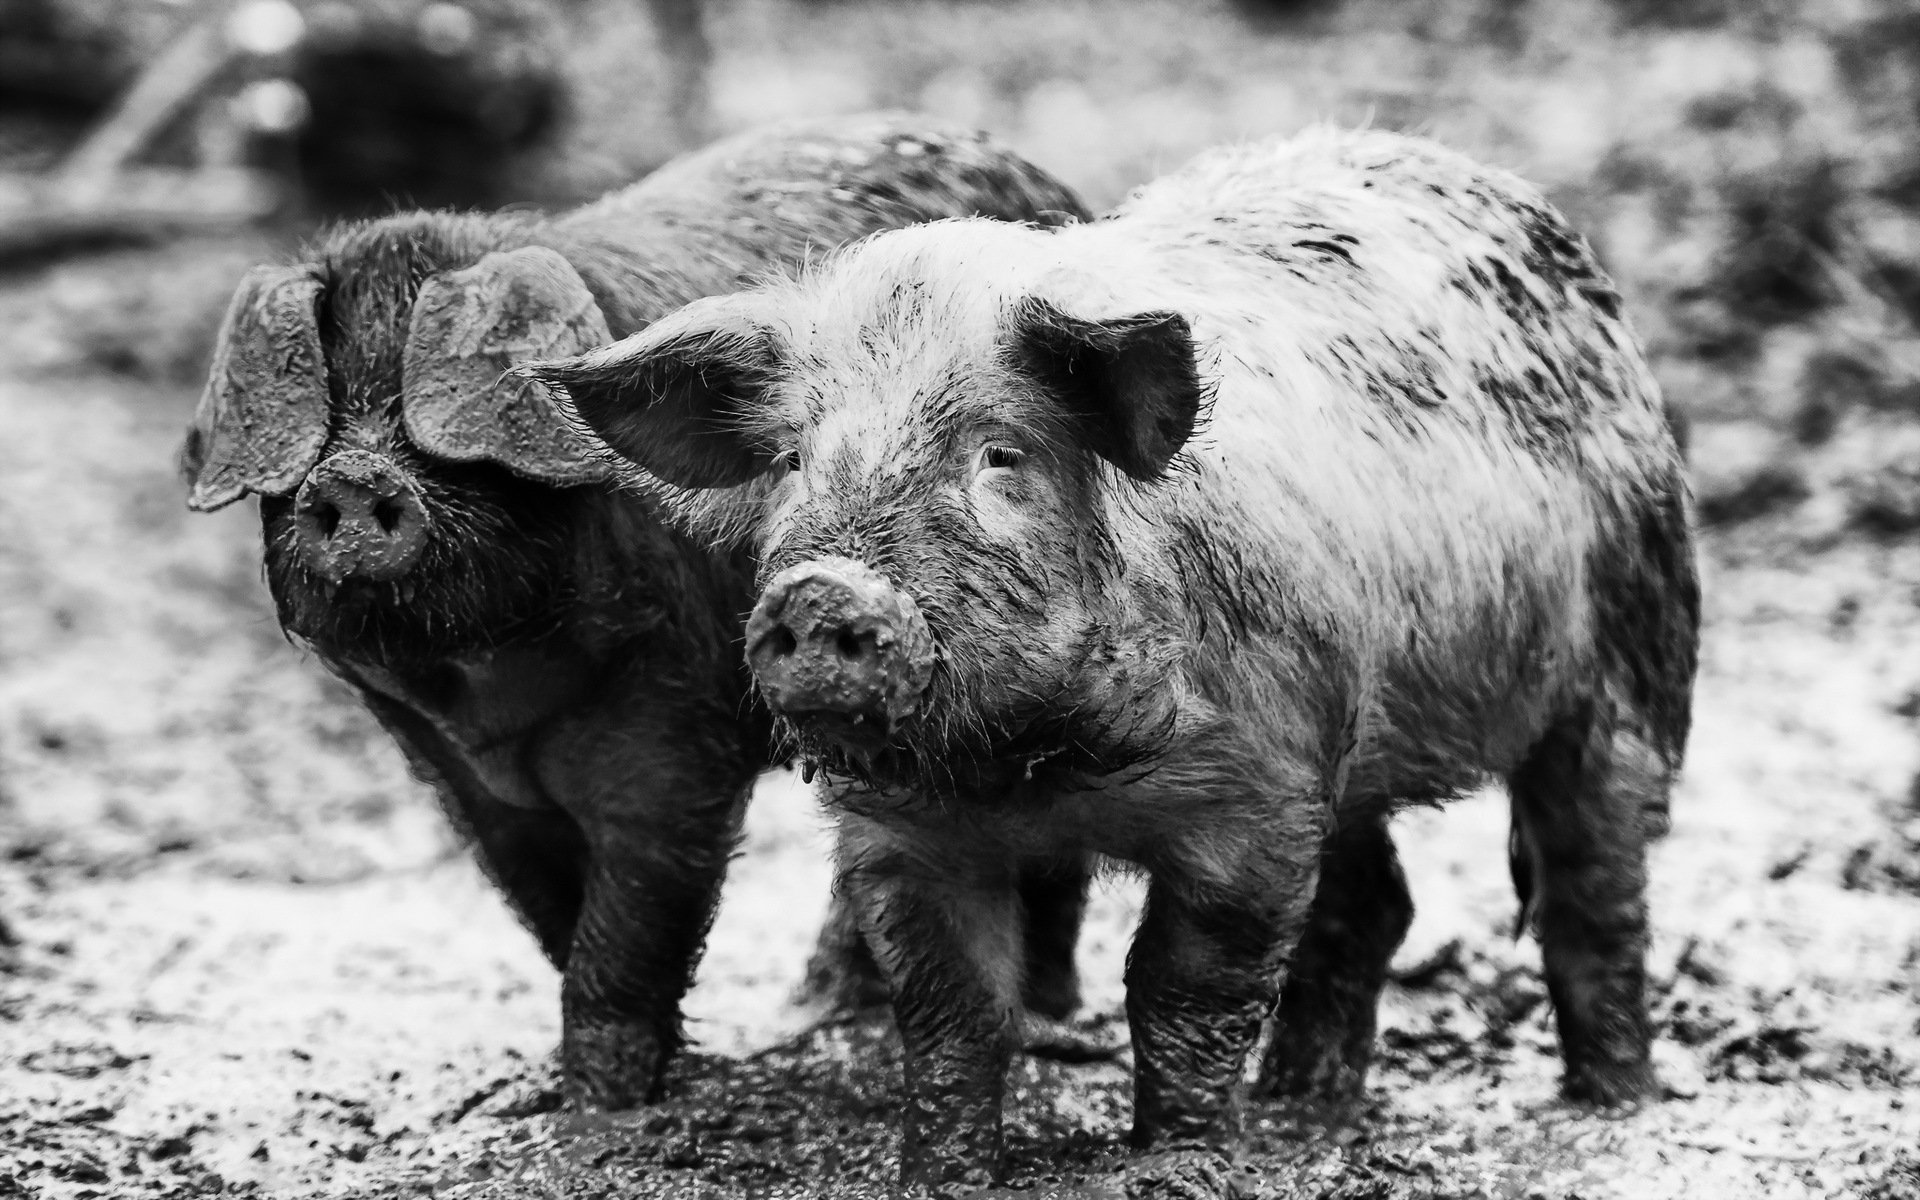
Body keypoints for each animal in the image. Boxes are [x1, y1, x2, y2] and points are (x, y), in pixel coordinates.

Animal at [179, 113, 1096, 1110]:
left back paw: (1040, 1018)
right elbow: (548, 910)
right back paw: (816, 1008)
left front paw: (602, 1105)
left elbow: (637, 912)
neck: (483, 689)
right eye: (332, 399)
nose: (352, 476)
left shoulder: (675, 715)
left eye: (431, 407)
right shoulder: (450, 769)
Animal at [530, 125, 1701, 1188]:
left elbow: (1184, 987)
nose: (823, 593)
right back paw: (1302, 1108)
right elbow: (950, 1008)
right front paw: (943, 1175)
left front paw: (1175, 1163)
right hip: (1353, 739)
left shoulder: (1256, 796)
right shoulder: (899, 835)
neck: (1036, 765)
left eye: (1000, 455)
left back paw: (1613, 1103)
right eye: (789, 459)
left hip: (1637, 640)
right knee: (1376, 902)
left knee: (1596, 881)